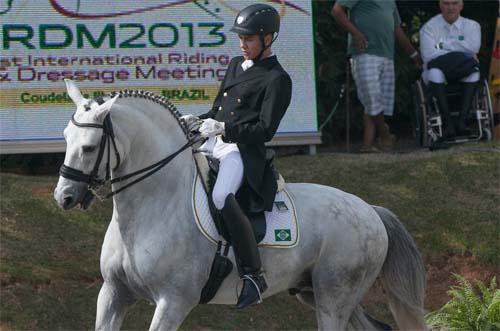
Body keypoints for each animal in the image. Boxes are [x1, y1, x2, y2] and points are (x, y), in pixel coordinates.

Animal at [53, 80, 426, 331]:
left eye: (89, 147)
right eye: (66, 138)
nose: (64, 197)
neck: (154, 204)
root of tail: (370, 210)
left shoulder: (172, 302)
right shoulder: (113, 294)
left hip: (335, 294)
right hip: (315, 292)